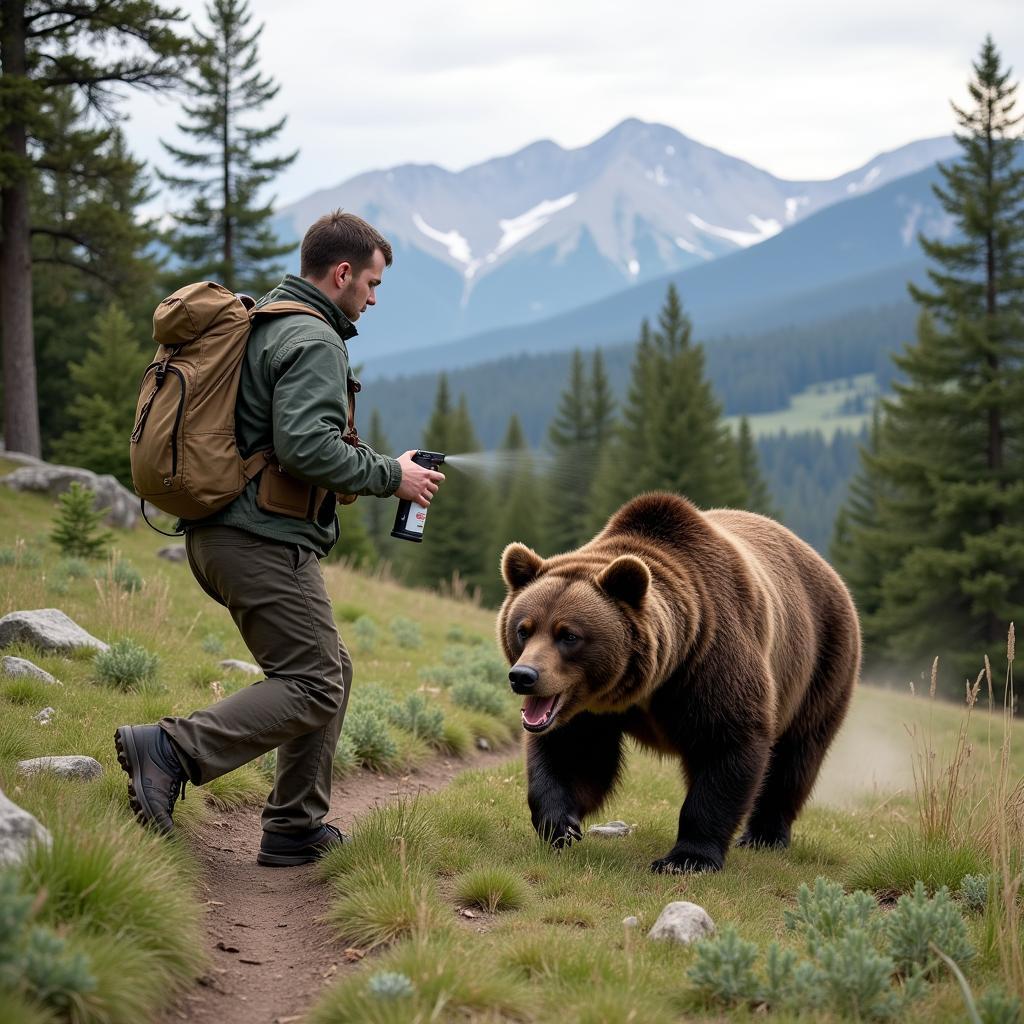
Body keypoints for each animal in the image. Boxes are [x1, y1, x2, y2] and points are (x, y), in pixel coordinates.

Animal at [499, 493, 860, 872]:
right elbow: (574, 751)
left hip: (822, 664)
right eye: (524, 629)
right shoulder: (589, 710)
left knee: (796, 756)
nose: (524, 676)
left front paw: (687, 858)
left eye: (568, 635)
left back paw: (765, 835)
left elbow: (727, 743)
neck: (648, 685)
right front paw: (560, 825)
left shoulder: (710, 662)